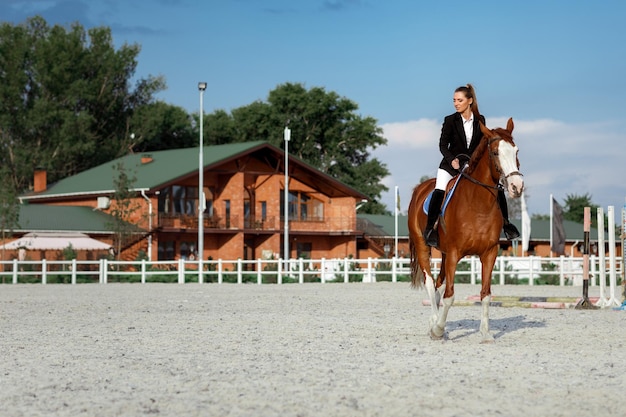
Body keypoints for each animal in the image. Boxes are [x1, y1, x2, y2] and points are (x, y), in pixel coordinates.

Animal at [404, 117, 520, 342]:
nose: (516, 187)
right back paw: (434, 323)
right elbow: (450, 296)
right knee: (431, 283)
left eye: (516, 151)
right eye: (495, 153)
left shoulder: (489, 253)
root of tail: (420, 189)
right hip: (424, 246)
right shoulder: (454, 253)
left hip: (443, 252)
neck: (478, 204)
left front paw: (485, 333)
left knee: (439, 283)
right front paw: (439, 329)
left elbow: (485, 294)